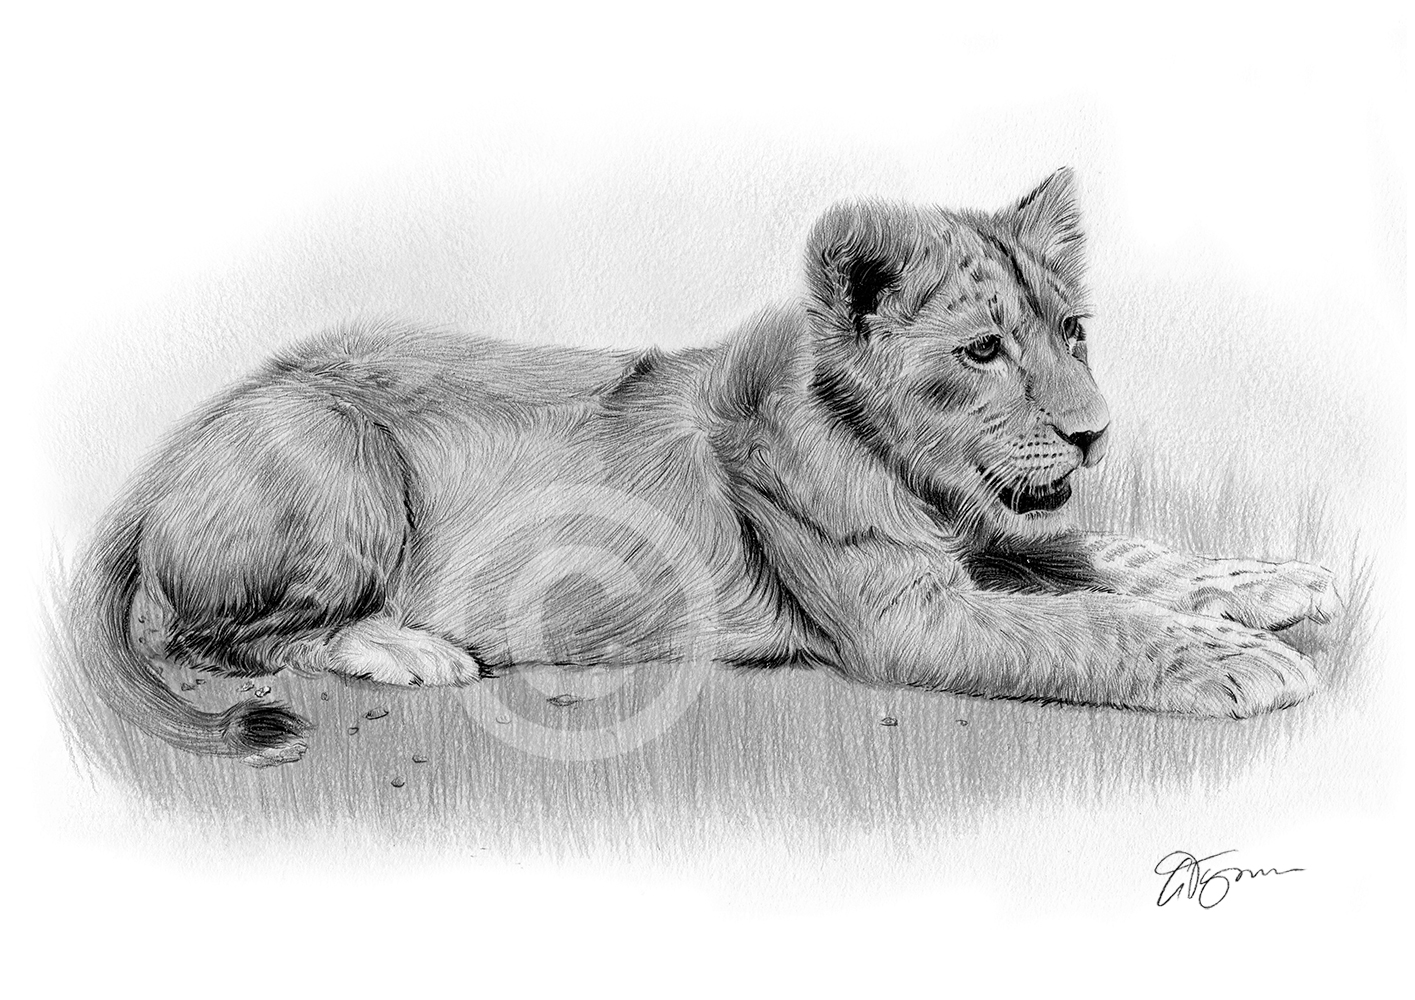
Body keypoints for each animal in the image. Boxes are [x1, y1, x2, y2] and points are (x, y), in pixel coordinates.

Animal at [69, 168, 1340, 767]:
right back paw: (406, 646)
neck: (922, 480)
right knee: (213, 639)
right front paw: (1239, 658)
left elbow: (1116, 554)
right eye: (981, 351)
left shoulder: (995, 542)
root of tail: (166, 455)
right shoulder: (905, 621)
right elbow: (1089, 621)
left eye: (1071, 332)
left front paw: (1272, 584)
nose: (1092, 433)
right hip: (337, 462)